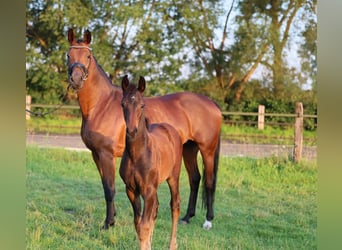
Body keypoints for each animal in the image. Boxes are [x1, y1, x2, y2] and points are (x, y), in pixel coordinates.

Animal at [67, 28, 222, 229]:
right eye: (68, 55)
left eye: (87, 56)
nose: (76, 79)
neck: (101, 104)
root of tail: (212, 103)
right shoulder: (96, 154)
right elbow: (105, 186)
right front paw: (113, 217)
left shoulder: (106, 154)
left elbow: (109, 189)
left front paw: (108, 223)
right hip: (189, 148)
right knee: (195, 179)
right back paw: (187, 217)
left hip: (207, 150)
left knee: (209, 181)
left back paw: (208, 220)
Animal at [120, 76, 183, 250]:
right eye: (122, 104)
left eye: (142, 105)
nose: (131, 131)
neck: (137, 155)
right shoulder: (131, 189)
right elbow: (138, 224)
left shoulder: (148, 190)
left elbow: (144, 226)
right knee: (156, 209)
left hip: (173, 177)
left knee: (175, 206)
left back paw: (172, 245)